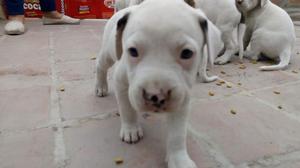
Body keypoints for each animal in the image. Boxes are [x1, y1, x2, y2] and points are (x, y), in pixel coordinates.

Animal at [95, 0, 221, 167]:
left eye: (187, 53)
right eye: (132, 51)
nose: (155, 95)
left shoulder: (182, 98)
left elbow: (178, 133)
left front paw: (179, 159)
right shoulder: (121, 82)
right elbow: (127, 109)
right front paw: (131, 129)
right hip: (108, 53)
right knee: (100, 65)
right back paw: (100, 87)